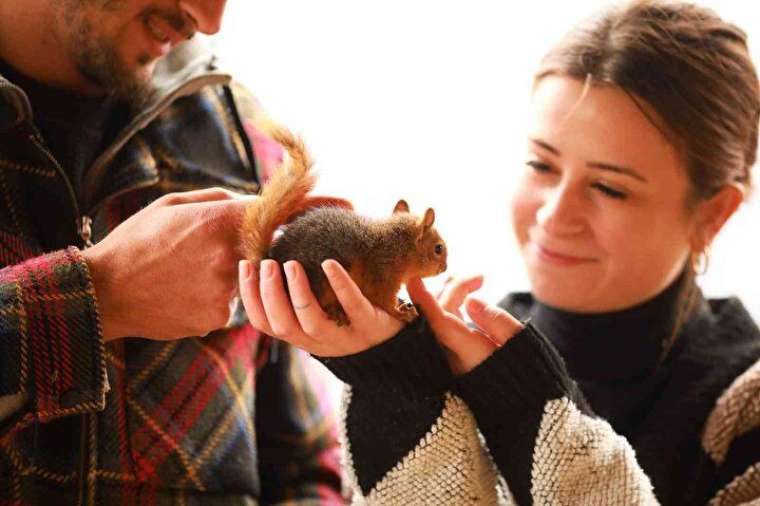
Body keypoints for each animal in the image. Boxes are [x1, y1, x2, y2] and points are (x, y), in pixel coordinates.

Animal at [240, 130, 448, 326]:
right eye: (438, 248)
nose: (445, 268)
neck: (398, 246)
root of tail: (272, 261)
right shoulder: (383, 275)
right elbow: (382, 301)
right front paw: (402, 312)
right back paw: (336, 312)